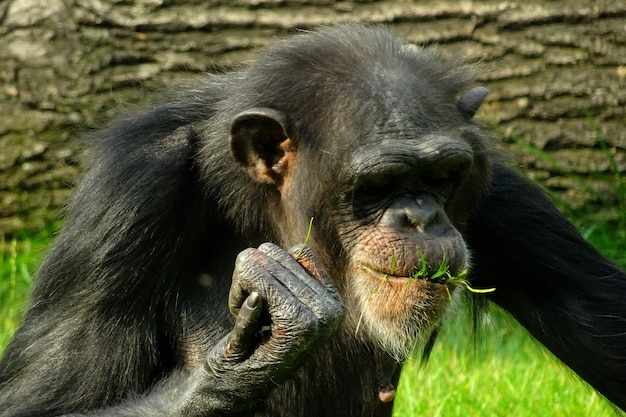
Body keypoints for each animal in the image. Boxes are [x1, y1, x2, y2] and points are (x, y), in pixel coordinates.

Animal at [1, 23, 624, 416]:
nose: (422, 217)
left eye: (444, 175)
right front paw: (249, 353)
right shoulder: (125, 198)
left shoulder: (502, 196)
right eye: (379, 184)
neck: (254, 201)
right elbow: (39, 404)